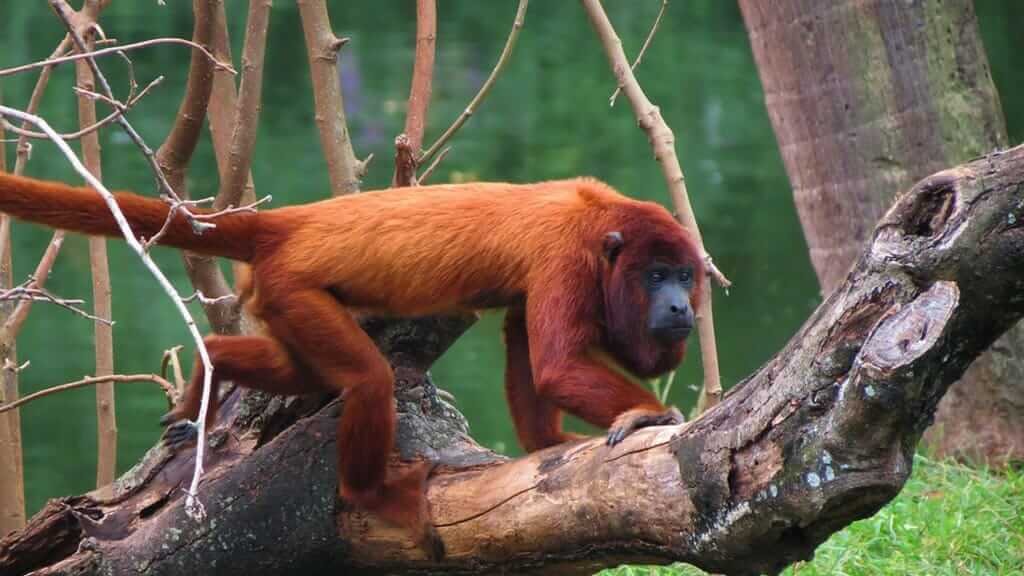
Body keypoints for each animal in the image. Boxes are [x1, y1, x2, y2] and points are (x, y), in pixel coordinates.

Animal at [0, 171, 702, 556]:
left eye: (686, 275)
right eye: (657, 276)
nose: (681, 306)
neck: (601, 225)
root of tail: (284, 227)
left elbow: (523, 345)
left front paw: (547, 443)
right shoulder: (566, 258)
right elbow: (554, 363)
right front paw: (649, 414)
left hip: (279, 299)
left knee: (299, 372)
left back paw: (212, 370)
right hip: (294, 289)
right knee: (368, 379)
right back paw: (373, 493)